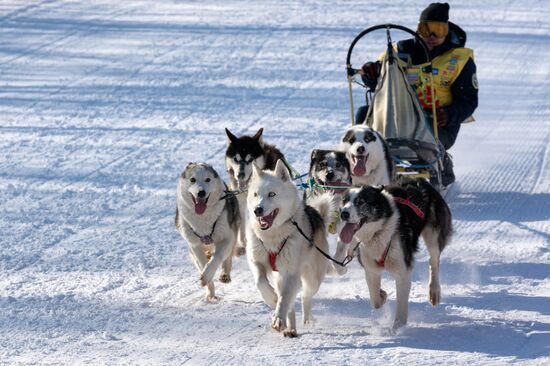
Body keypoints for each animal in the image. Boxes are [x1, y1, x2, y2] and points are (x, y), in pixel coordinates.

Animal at [175, 163, 239, 300]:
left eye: (208, 179)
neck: (203, 217)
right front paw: (210, 292)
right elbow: (202, 263)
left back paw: (225, 274)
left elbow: (217, 258)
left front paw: (207, 275)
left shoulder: (227, 237)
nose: (201, 192)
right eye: (192, 180)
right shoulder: (195, 245)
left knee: (227, 256)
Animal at [247, 159, 336, 336]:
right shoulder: (256, 262)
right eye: (255, 194)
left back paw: (304, 321)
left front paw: (278, 318)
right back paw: (290, 328)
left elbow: (285, 298)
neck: (273, 235)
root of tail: (317, 215)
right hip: (280, 277)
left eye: (272, 194)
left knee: (304, 296)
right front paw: (271, 298)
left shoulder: (290, 272)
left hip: (312, 277)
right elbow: (261, 282)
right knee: (290, 302)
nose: (257, 210)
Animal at [340, 178, 452, 328]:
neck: (379, 231)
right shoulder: (371, 270)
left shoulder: (403, 272)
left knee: (434, 261)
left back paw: (434, 291)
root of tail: (419, 180)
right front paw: (382, 294)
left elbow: (401, 309)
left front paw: (397, 329)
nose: (343, 213)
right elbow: (375, 300)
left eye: (360, 202)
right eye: (344, 201)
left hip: (433, 236)